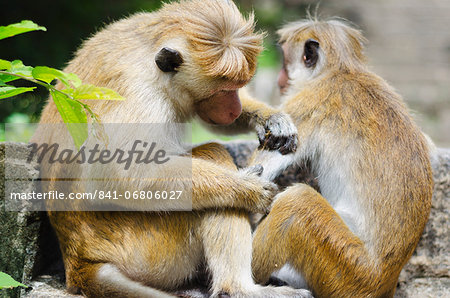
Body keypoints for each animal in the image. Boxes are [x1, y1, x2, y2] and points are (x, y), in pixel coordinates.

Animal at [31, 0, 310, 298]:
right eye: (224, 90)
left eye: (237, 87)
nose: (234, 109)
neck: (150, 60)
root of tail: (78, 259)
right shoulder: (140, 97)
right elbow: (116, 177)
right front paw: (246, 188)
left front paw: (272, 119)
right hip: (148, 247)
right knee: (212, 156)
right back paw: (239, 288)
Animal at [251, 19, 434, 298]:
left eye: (284, 62)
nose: (280, 79)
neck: (341, 69)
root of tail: (384, 283)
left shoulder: (308, 103)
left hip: (347, 271)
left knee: (297, 203)